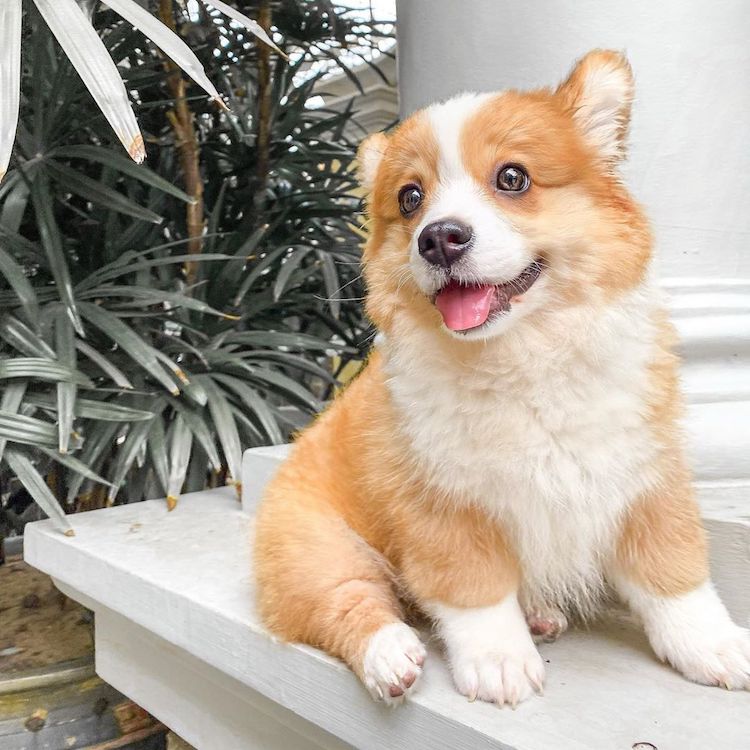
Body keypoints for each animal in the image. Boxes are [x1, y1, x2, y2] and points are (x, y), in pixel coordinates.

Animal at [254, 50, 750, 708]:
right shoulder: (444, 505)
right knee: (347, 602)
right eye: (410, 199)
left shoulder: (646, 478)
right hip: (315, 550)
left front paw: (714, 646)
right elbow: (475, 592)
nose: (438, 238)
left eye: (512, 178)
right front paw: (499, 662)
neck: (523, 358)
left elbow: (675, 575)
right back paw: (390, 655)